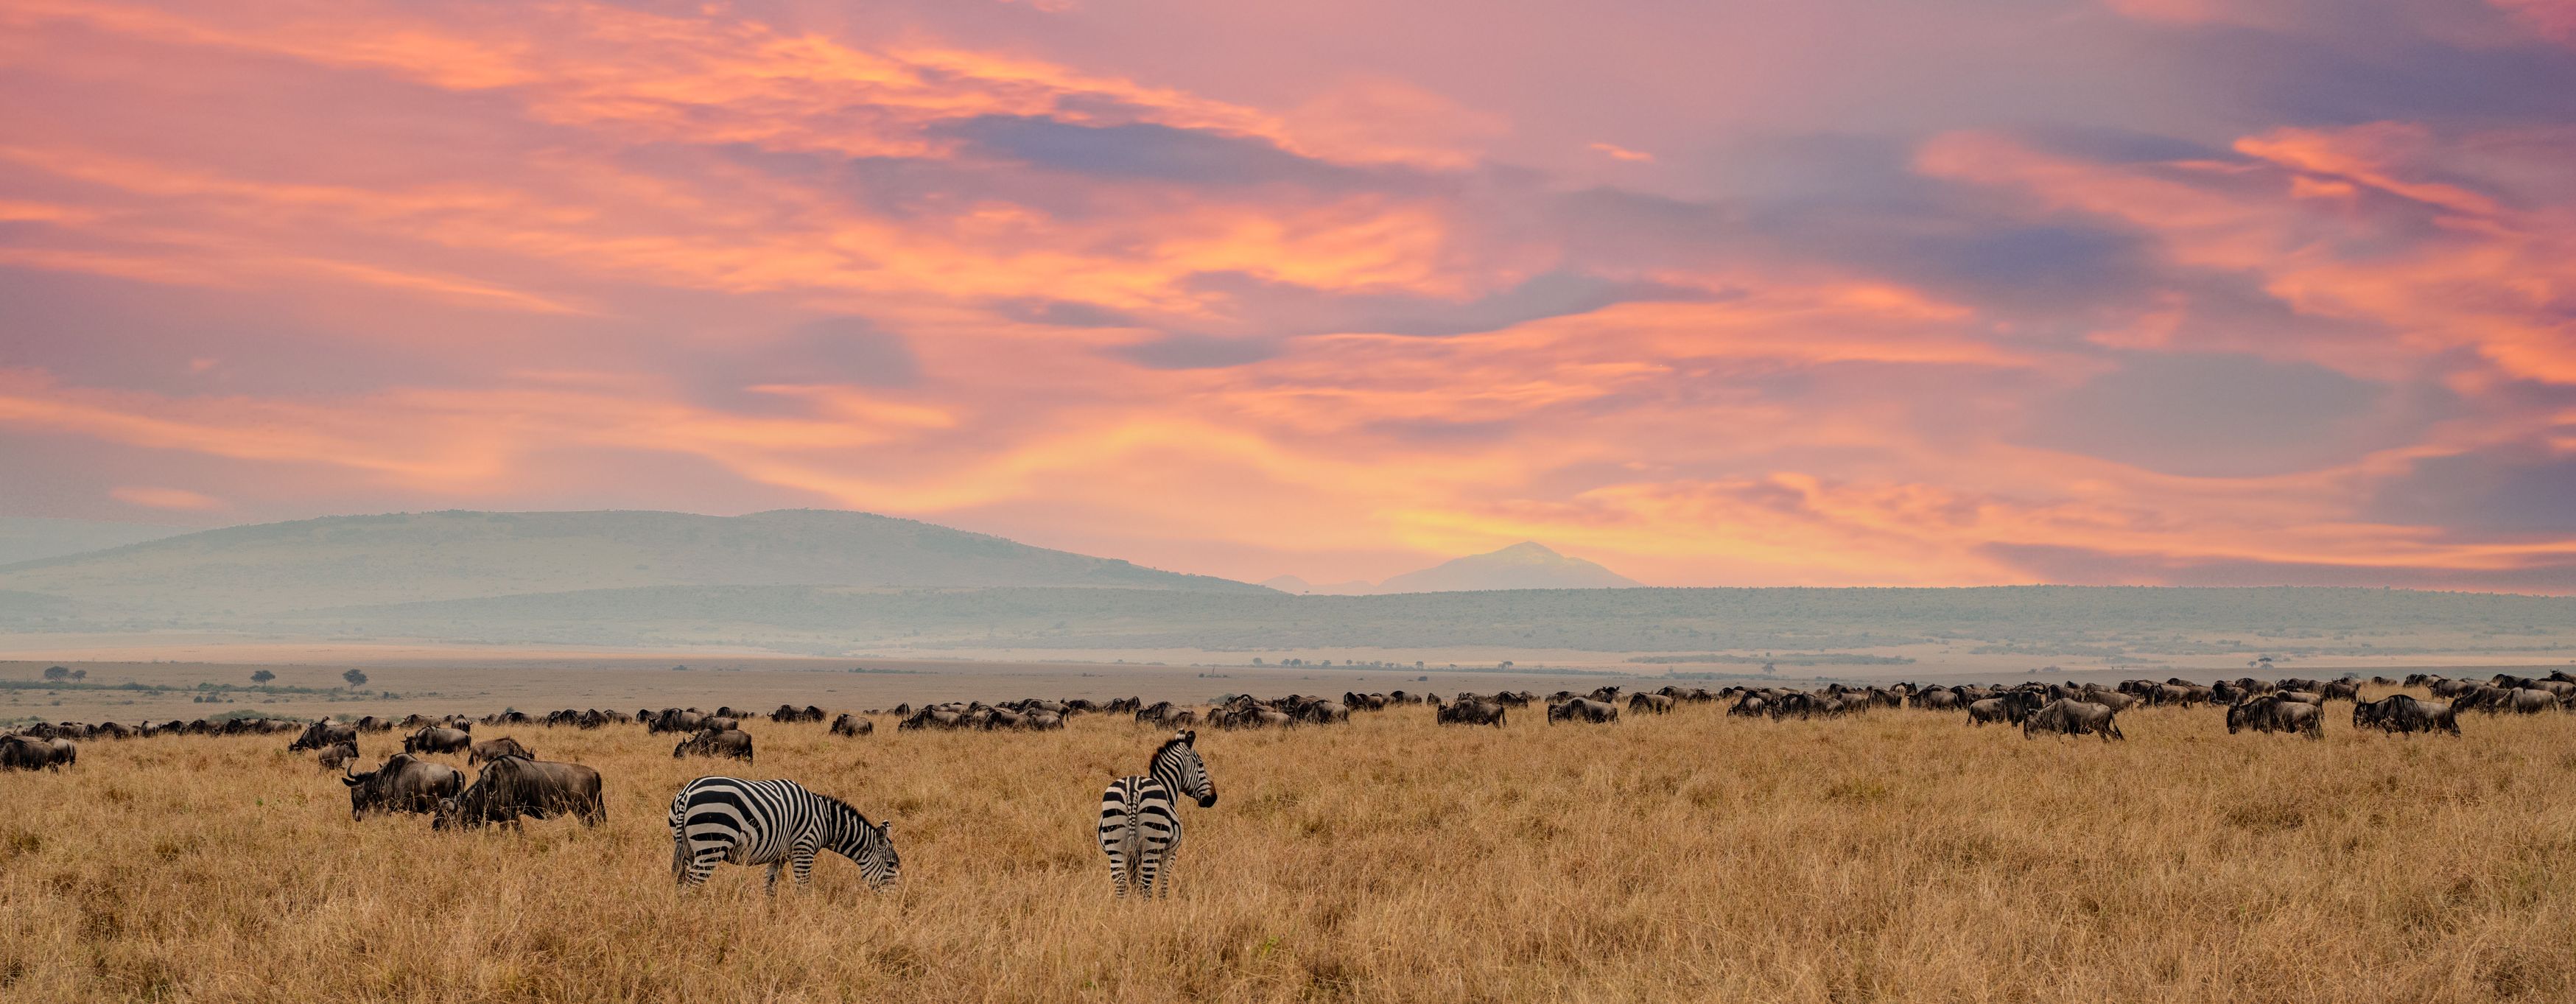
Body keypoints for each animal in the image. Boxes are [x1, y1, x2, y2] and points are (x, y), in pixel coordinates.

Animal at [668, 777, 900, 893]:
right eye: (891, 865)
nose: (895, 903)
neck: (826, 822)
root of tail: (686, 794)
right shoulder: (804, 850)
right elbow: (803, 889)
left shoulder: (778, 857)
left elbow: (770, 888)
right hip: (711, 845)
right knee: (689, 888)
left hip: (687, 848)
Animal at [1097, 729, 1218, 899]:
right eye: (1201, 764)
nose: (1213, 798)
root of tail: (1132, 790)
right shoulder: (1169, 855)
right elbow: (1163, 885)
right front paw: (1163, 902)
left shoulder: (1133, 858)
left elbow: (1134, 885)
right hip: (1152, 846)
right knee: (1145, 886)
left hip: (1115, 846)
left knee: (1122, 885)